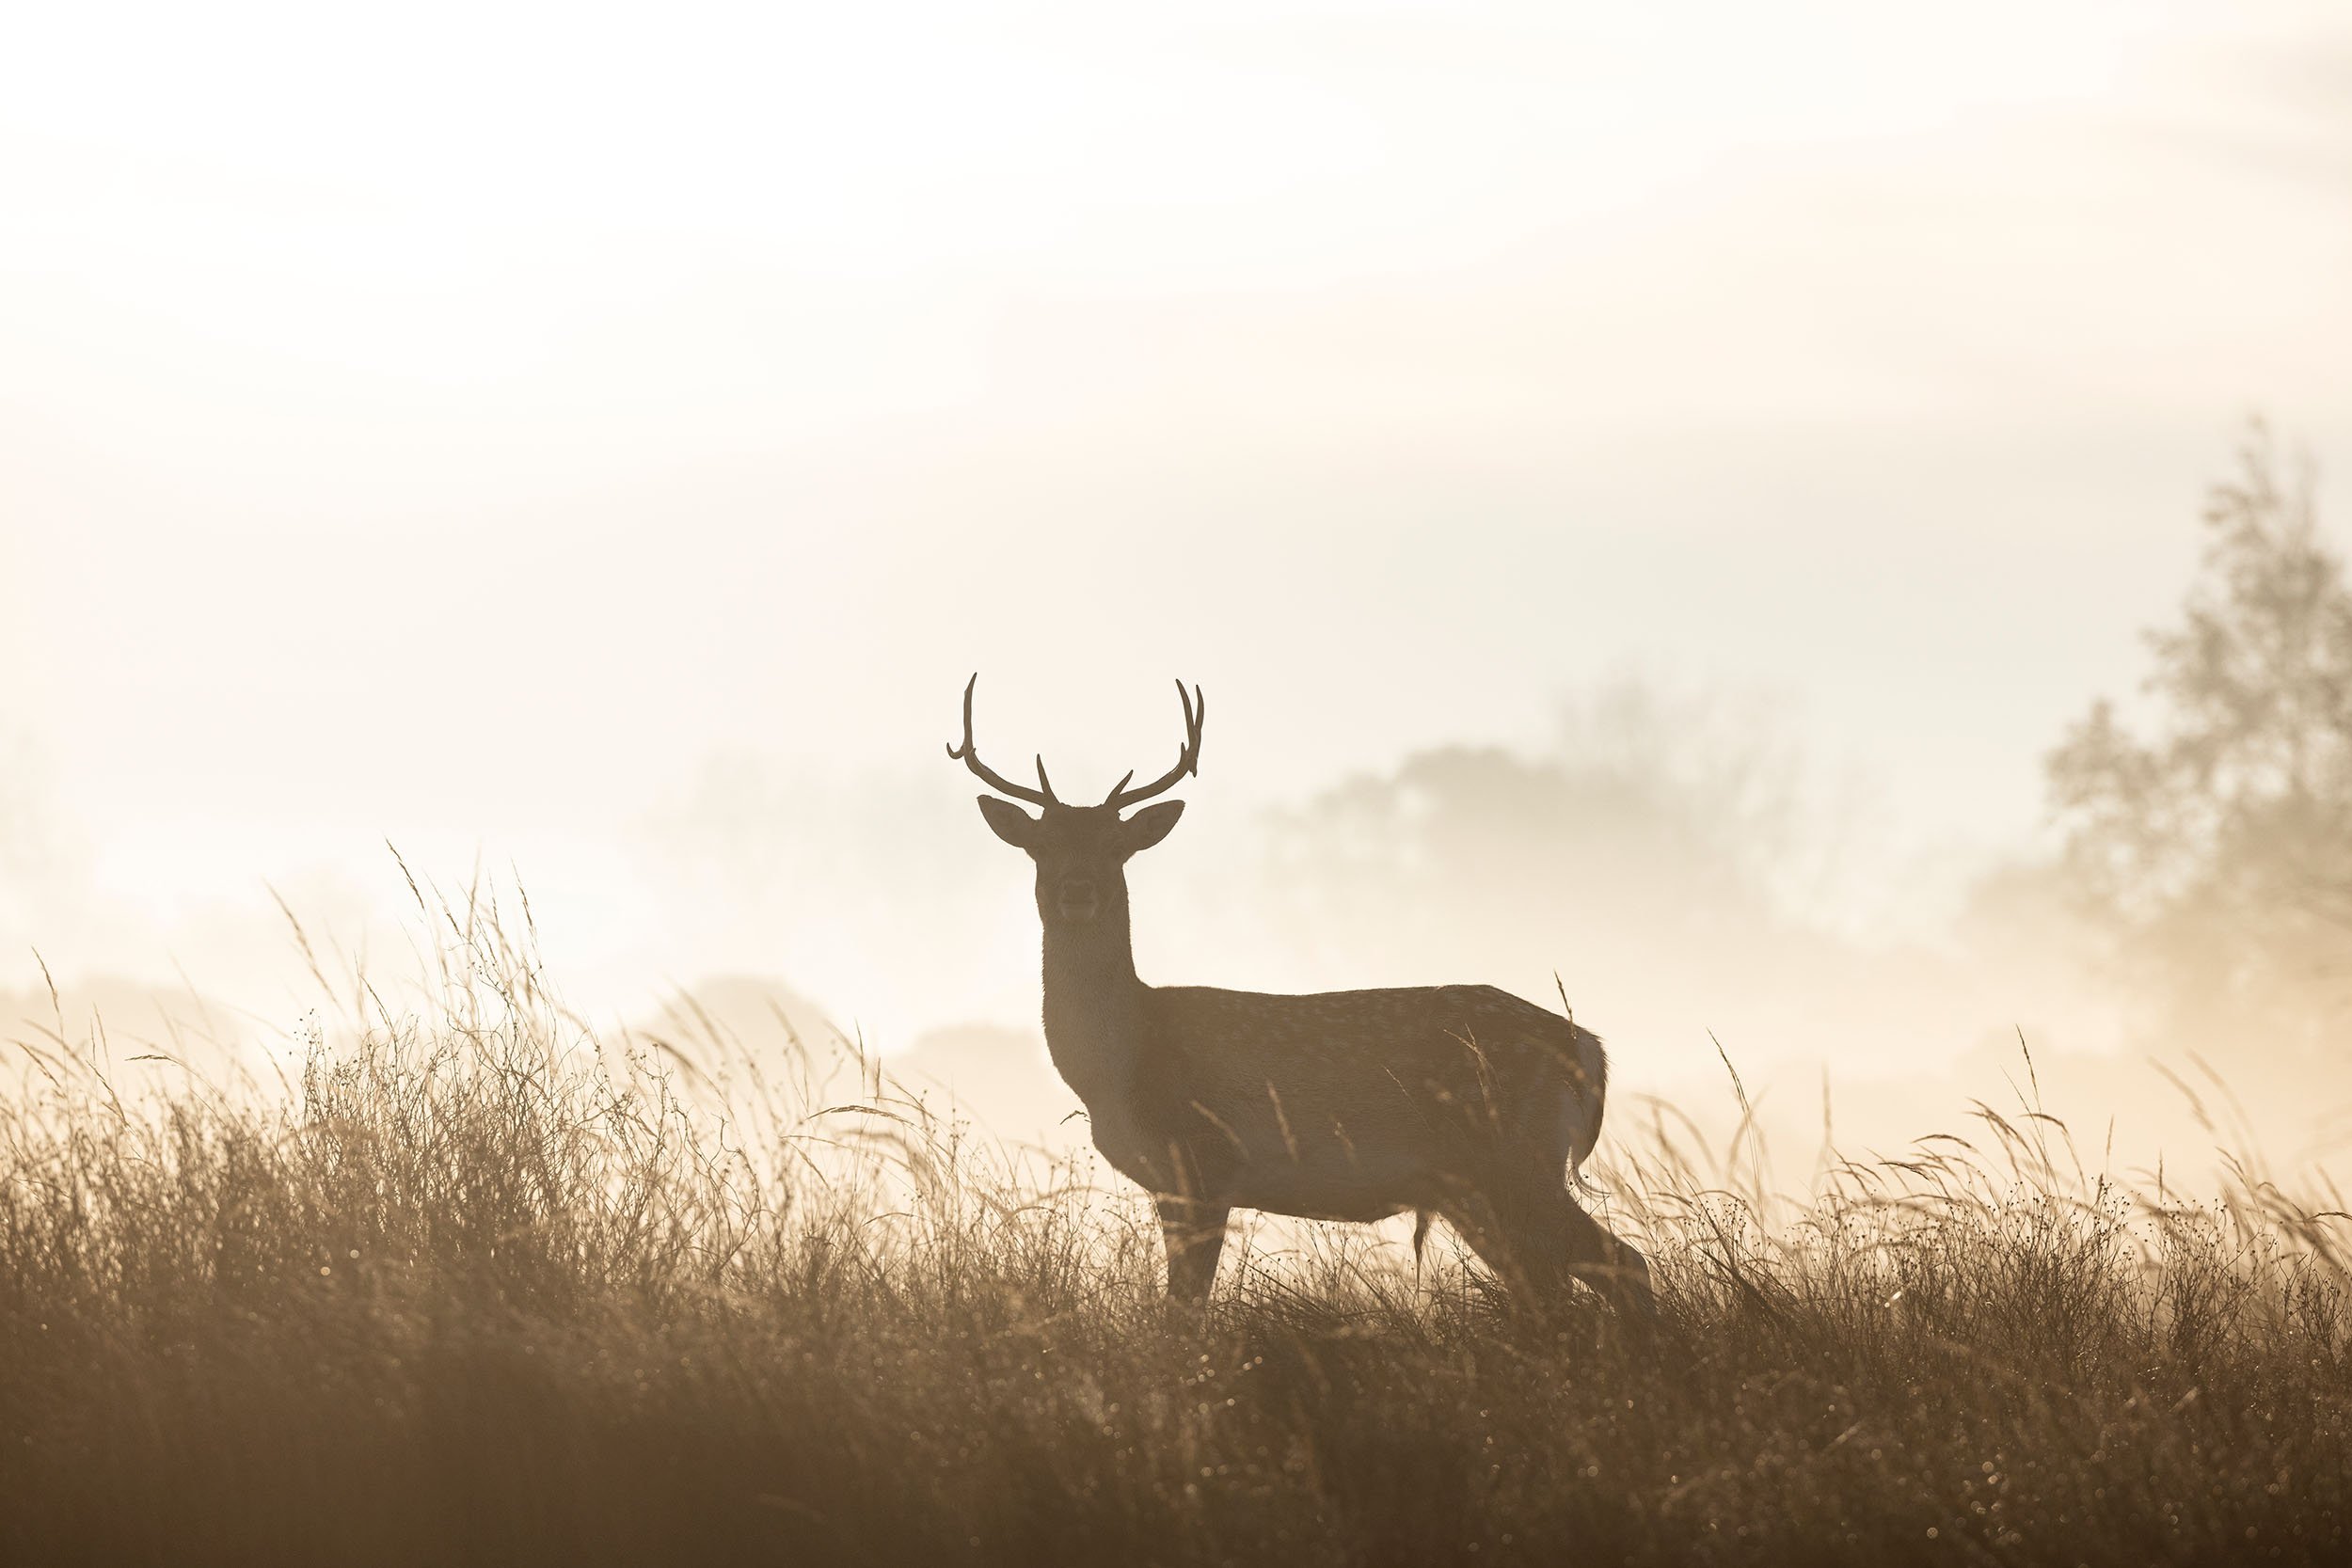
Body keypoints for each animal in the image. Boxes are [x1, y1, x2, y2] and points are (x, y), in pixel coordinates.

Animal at [948, 674, 1656, 1326]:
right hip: (1479, 1186)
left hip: (1515, 1154)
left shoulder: (1206, 1162)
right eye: (1041, 844)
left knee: (1617, 1262)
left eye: (1117, 845)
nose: (1077, 889)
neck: (1121, 1060)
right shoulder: (1173, 1185)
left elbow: (1185, 1312)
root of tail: (1589, 1048)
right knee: (1558, 1281)